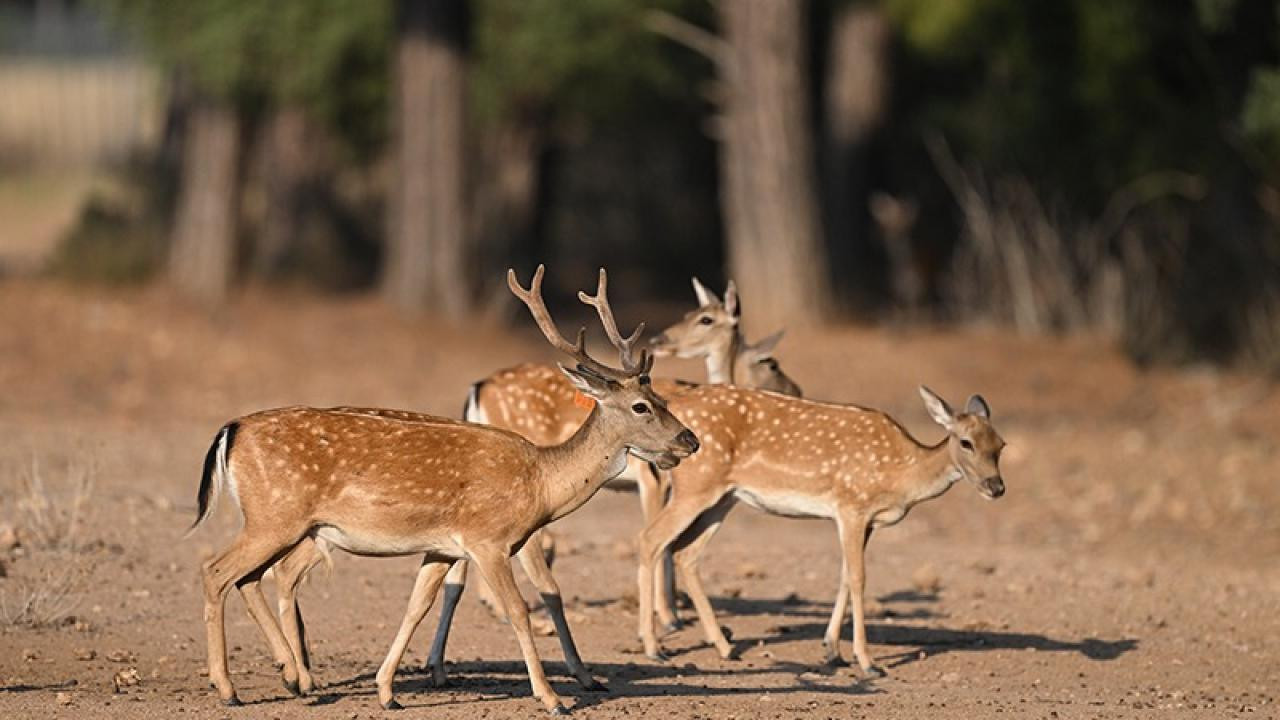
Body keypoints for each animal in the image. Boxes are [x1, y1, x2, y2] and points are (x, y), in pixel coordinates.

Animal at [186, 266, 701, 707]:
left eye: (660, 396)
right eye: (641, 406)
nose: (690, 439)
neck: (539, 483)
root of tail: (230, 430)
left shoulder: (441, 548)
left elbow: (416, 607)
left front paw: (387, 691)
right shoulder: (489, 540)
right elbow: (520, 608)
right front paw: (553, 698)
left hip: (286, 524)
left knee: (248, 577)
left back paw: (292, 676)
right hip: (276, 517)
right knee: (217, 571)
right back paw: (231, 688)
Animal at [634, 384, 1003, 676]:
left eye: (1000, 445)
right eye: (966, 442)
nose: (996, 487)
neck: (901, 476)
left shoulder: (863, 521)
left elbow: (844, 576)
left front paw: (832, 651)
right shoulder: (852, 505)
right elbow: (858, 578)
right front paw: (867, 662)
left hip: (725, 496)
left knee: (685, 551)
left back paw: (725, 647)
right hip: (696, 485)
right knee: (651, 539)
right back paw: (654, 648)